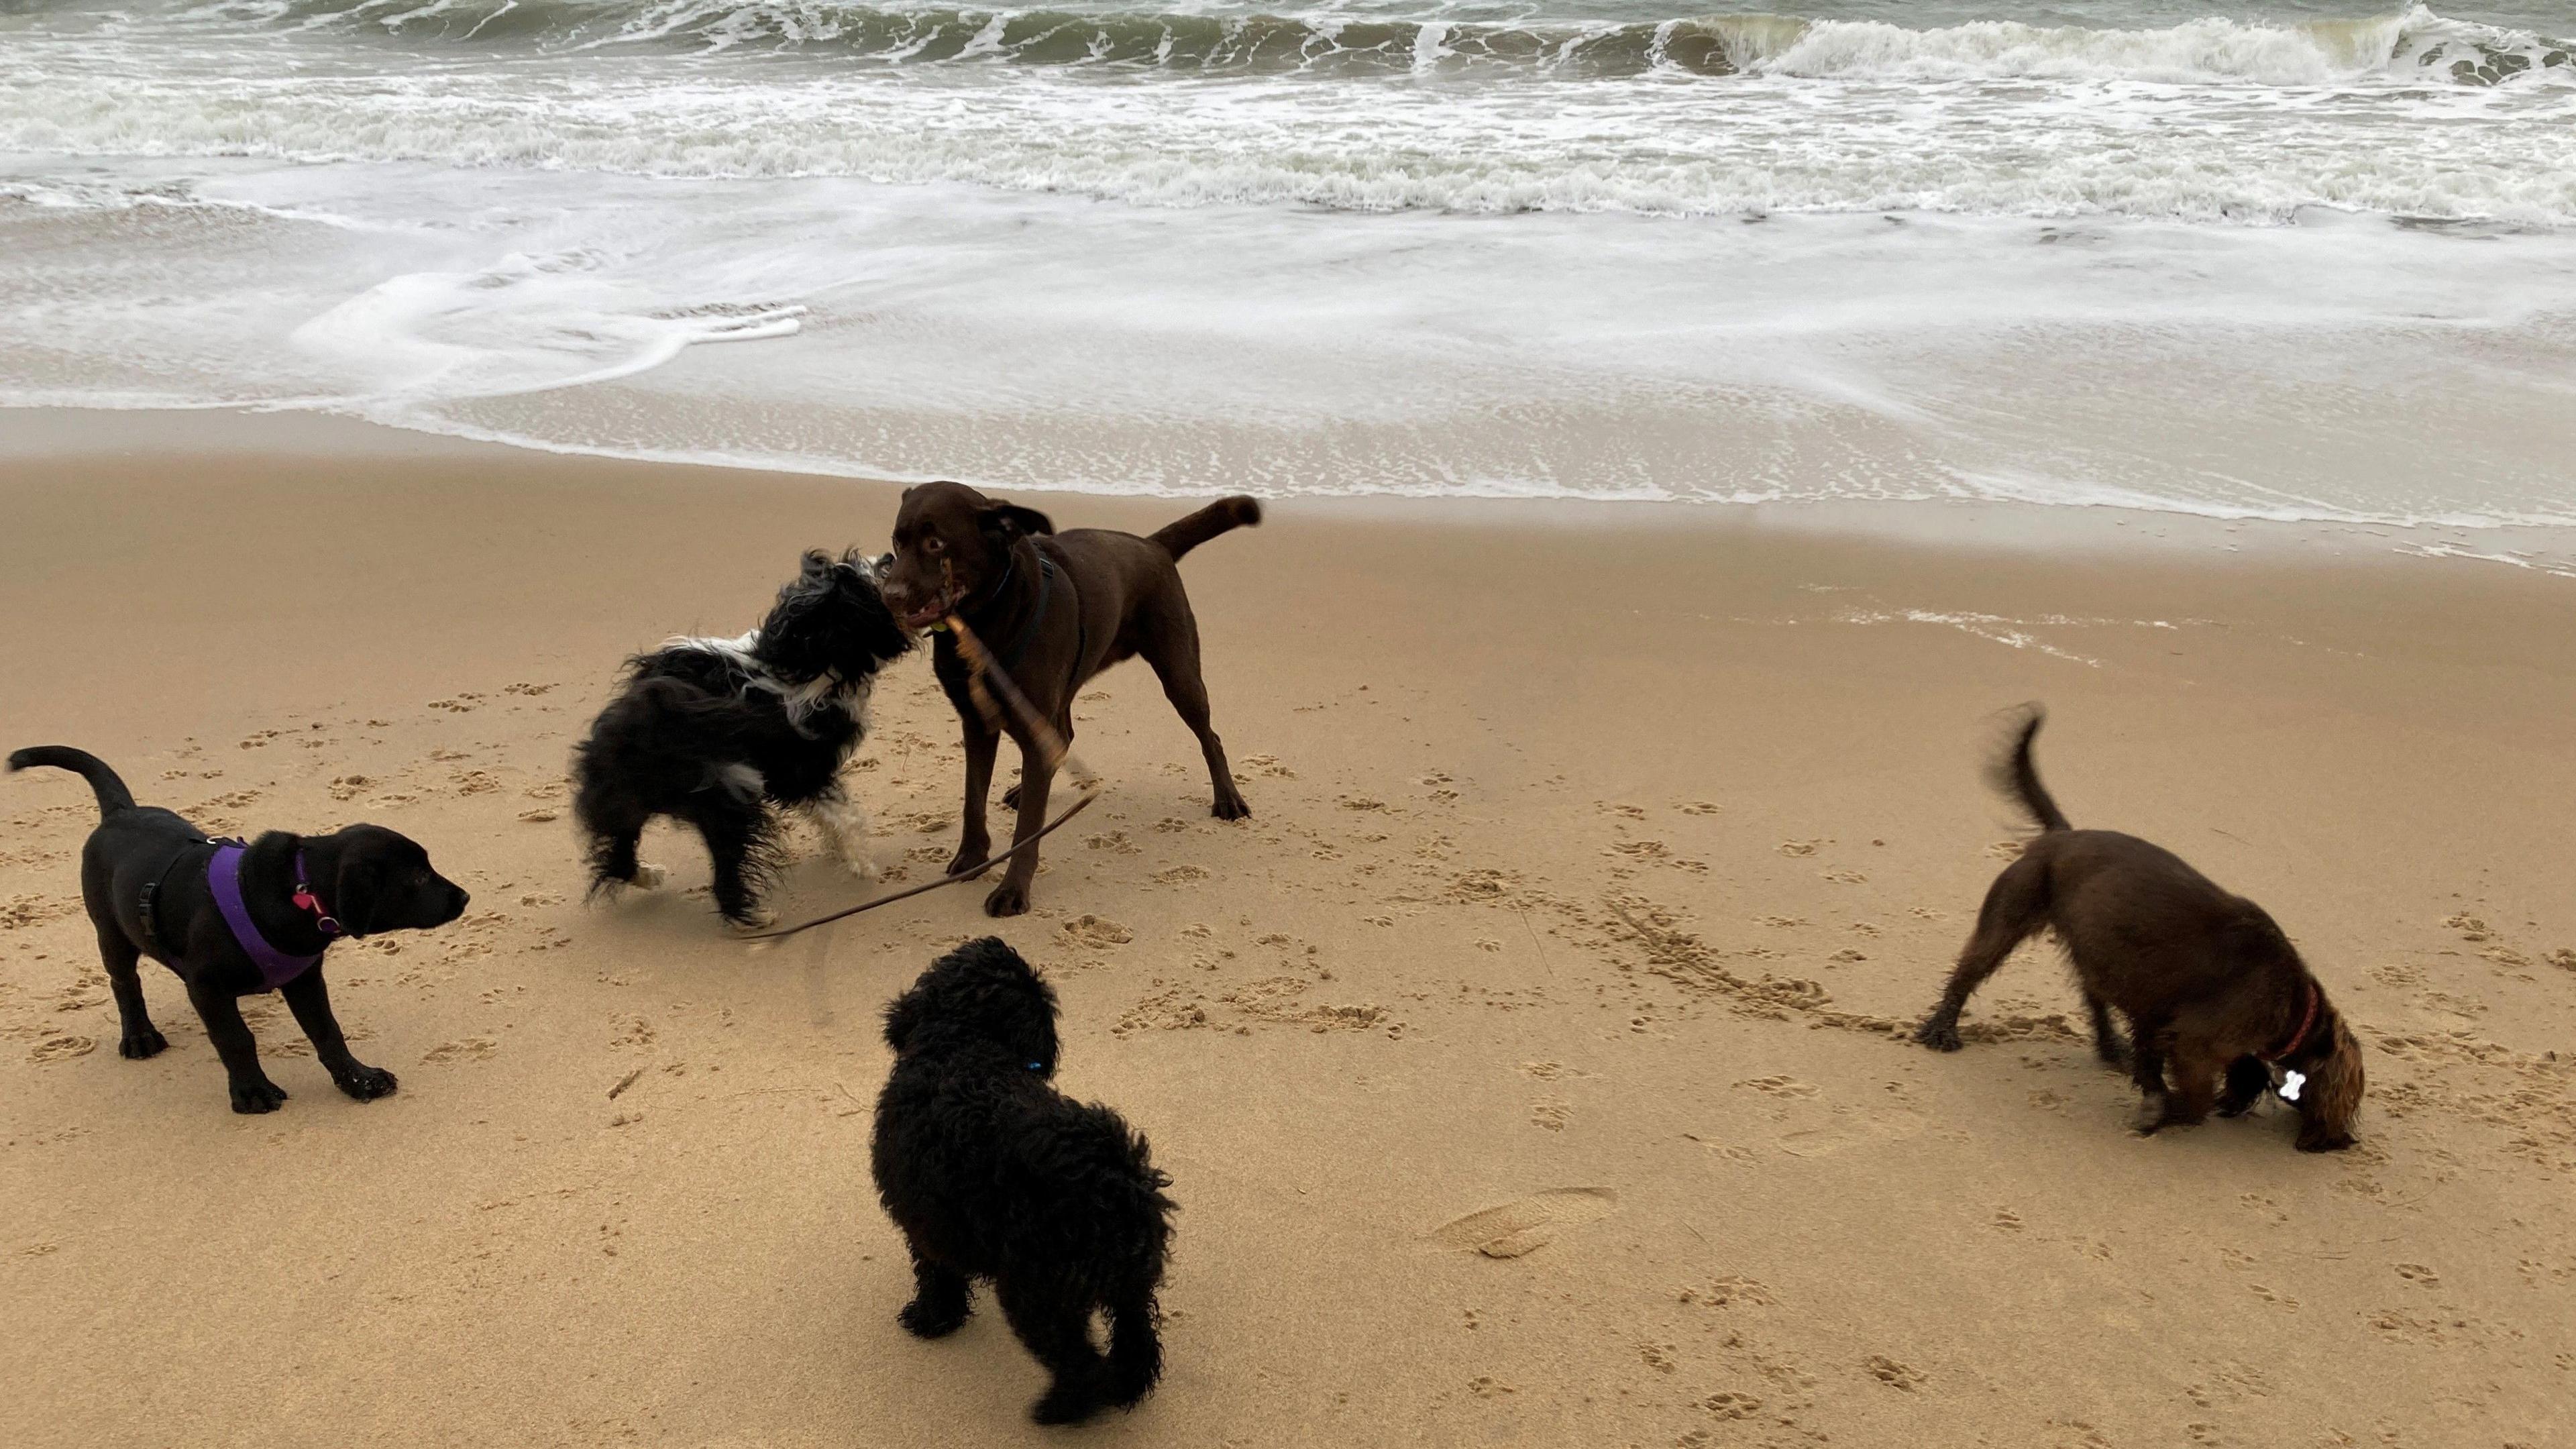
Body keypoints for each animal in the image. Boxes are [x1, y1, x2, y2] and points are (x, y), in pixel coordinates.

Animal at [9, 737, 468, 1108]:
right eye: (418, 877)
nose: (464, 897)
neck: (296, 890)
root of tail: (120, 812)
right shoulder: (207, 986)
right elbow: (235, 1038)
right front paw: (252, 1092)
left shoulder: (304, 979)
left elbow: (328, 1032)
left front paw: (359, 1080)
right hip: (112, 932)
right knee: (124, 983)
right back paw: (139, 1037)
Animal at [577, 546, 917, 928]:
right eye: (865, 589)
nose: (889, 557)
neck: (804, 659)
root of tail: (637, 727)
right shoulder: (799, 769)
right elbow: (844, 815)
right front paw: (862, 863)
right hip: (724, 796)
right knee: (725, 873)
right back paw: (753, 917)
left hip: (628, 803)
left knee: (619, 858)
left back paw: (650, 876)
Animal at [875, 484, 1256, 912]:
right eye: (897, 541)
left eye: (935, 543)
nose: (889, 596)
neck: (988, 622)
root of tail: (1152, 544)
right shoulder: (976, 724)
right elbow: (973, 801)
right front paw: (972, 858)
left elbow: (1027, 827)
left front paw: (1012, 890)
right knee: (1062, 738)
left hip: (1179, 673)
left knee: (1210, 737)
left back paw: (1229, 800)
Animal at [875, 938, 1179, 1423]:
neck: (961, 1043)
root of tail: (1113, 1176)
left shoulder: (926, 1224)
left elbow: (936, 1274)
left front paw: (931, 1319)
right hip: (1129, 1284)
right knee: (1138, 1341)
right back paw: (1125, 1389)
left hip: (1038, 1291)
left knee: (1080, 1362)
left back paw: (1060, 1409)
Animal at [1916, 706, 2359, 1144]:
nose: (2341, 1141)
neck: (2299, 1011)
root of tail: (2061, 836)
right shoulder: (2195, 1040)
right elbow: (2196, 1099)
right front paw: (2161, 1112)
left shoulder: (2156, 1014)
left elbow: (2165, 1062)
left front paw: (2155, 1092)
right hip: (2006, 921)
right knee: (1966, 973)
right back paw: (1942, 1030)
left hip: (2094, 953)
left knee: (2094, 999)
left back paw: (2112, 1048)